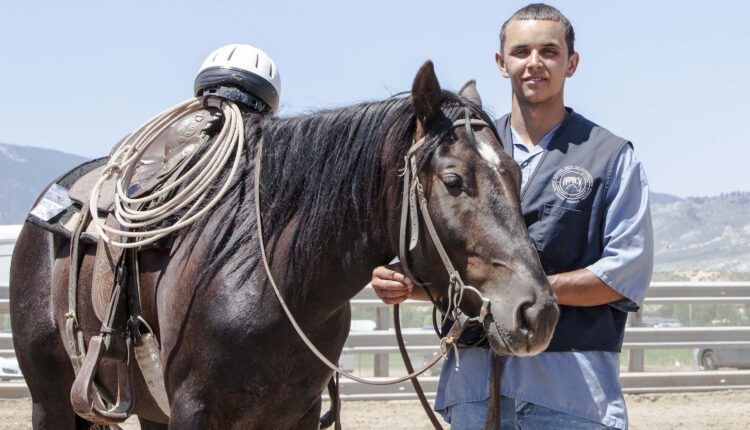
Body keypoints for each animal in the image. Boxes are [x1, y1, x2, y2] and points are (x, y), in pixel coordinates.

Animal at [10, 61, 558, 429]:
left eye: (514, 174)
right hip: (50, 399)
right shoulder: (193, 412)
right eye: (453, 181)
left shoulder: (297, 413)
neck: (265, 275)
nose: (538, 313)